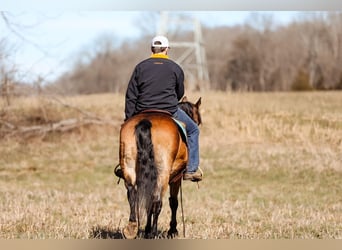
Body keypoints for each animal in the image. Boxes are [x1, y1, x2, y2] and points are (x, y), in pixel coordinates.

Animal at [119, 95, 202, 238]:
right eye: (198, 121)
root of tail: (146, 122)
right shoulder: (176, 178)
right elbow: (173, 202)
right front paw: (172, 230)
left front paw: (146, 230)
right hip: (163, 174)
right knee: (157, 202)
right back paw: (153, 233)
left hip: (129, 168)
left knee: (133, 195)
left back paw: (132, 230)